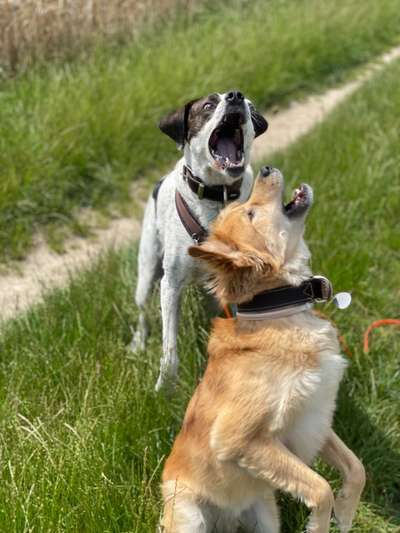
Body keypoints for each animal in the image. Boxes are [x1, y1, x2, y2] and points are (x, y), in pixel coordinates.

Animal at [132, 90, 268, 390]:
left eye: (250, 107)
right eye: (207, 105)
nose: (236, 95)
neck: (217, 197)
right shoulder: (170, 284)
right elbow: (169, 350)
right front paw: (165, 388)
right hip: (147, 270)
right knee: (142, 311)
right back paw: (137, 343)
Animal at [160, 166, 366, 532]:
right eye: (252, 214)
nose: (267, 169)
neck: (278, 310)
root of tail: (225, 524)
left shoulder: (313, 417)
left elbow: (356, 468)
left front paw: (345, 512)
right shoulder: (238, 438)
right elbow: (321, 488)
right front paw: (320, 523)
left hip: (266, 515)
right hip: (189, 516)